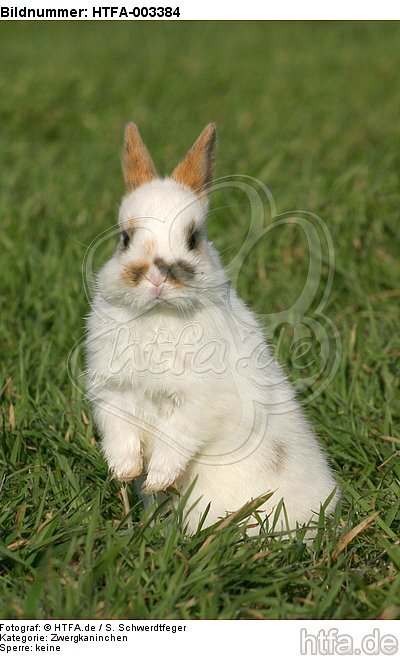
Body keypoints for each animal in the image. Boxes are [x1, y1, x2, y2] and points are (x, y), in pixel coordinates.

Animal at [85, 122, 338, 535]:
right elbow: (120, 436)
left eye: (192, 238)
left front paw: (157, 478)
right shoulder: (114, 393)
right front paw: (126, 473)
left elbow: (177, 439)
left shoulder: (200, 401)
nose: (157, 277)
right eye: (125, 238)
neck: (161, 314)